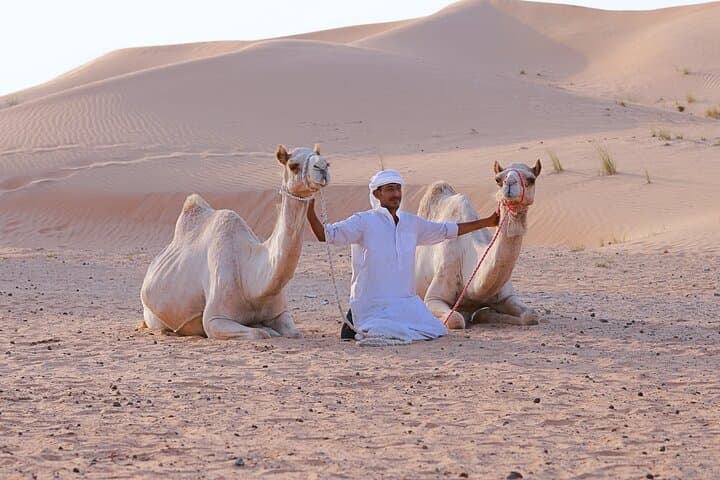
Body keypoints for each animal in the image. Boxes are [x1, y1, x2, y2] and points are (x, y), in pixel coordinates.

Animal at [139, 144, 329, 339]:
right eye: (293, 165)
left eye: (325, 161)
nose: (322, 167)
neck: (252, 282)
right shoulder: (215, 319)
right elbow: (259, 333)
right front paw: (265, 330)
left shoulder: (280, 313)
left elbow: (294, 333)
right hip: (152, 317)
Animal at [415, 160, 541, 329]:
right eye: (498, 179)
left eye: (531, 179)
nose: (509, 184)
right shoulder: (434, 297)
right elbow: (455, 319)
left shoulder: (506, 296)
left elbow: (531, 315)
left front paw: (484, 314)